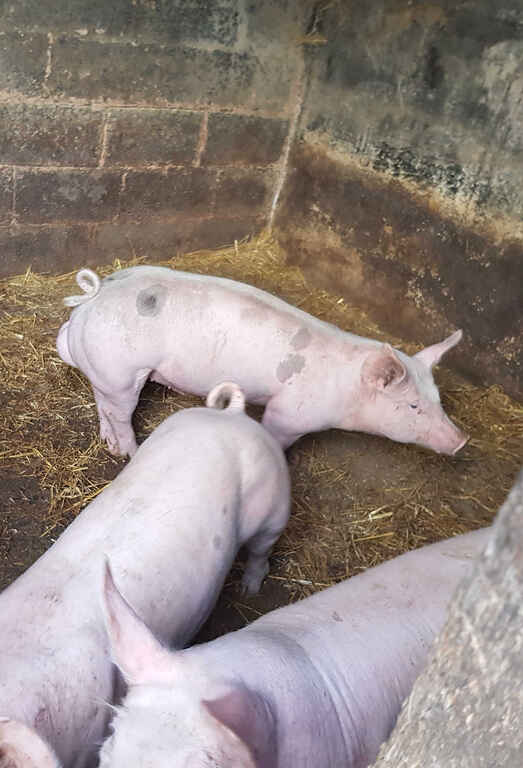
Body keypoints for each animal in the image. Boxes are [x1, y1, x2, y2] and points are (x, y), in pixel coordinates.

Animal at [56, 265, 467, 457]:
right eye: (412, 405)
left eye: (438, 400)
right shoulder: (290, 413)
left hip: (108, 373)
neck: (345, 387)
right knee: (121, 414)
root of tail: (96, 294)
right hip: (122, 370)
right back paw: (130, 451)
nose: (462, 440)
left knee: (105, 407)